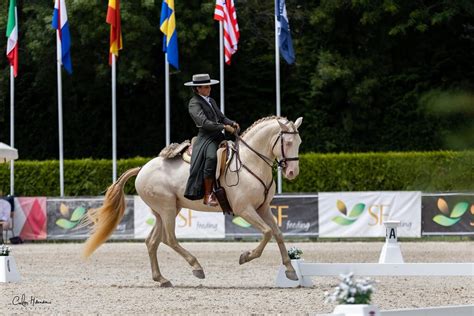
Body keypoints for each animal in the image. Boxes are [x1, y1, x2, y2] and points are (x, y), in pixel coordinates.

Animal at [81, 115, 304, 286]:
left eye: (299, 143)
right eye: (288, 143)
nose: (293, 173)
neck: (250, 162)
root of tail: (143, 168)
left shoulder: (263, 208)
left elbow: (277, 233)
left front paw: (290, 270)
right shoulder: (245, 209)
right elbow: (267, 233)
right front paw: (246, 256)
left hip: (164, 211)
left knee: (152, 241)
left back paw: (162, 279)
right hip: (168, 209)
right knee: (169, 239)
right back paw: (196, 267)